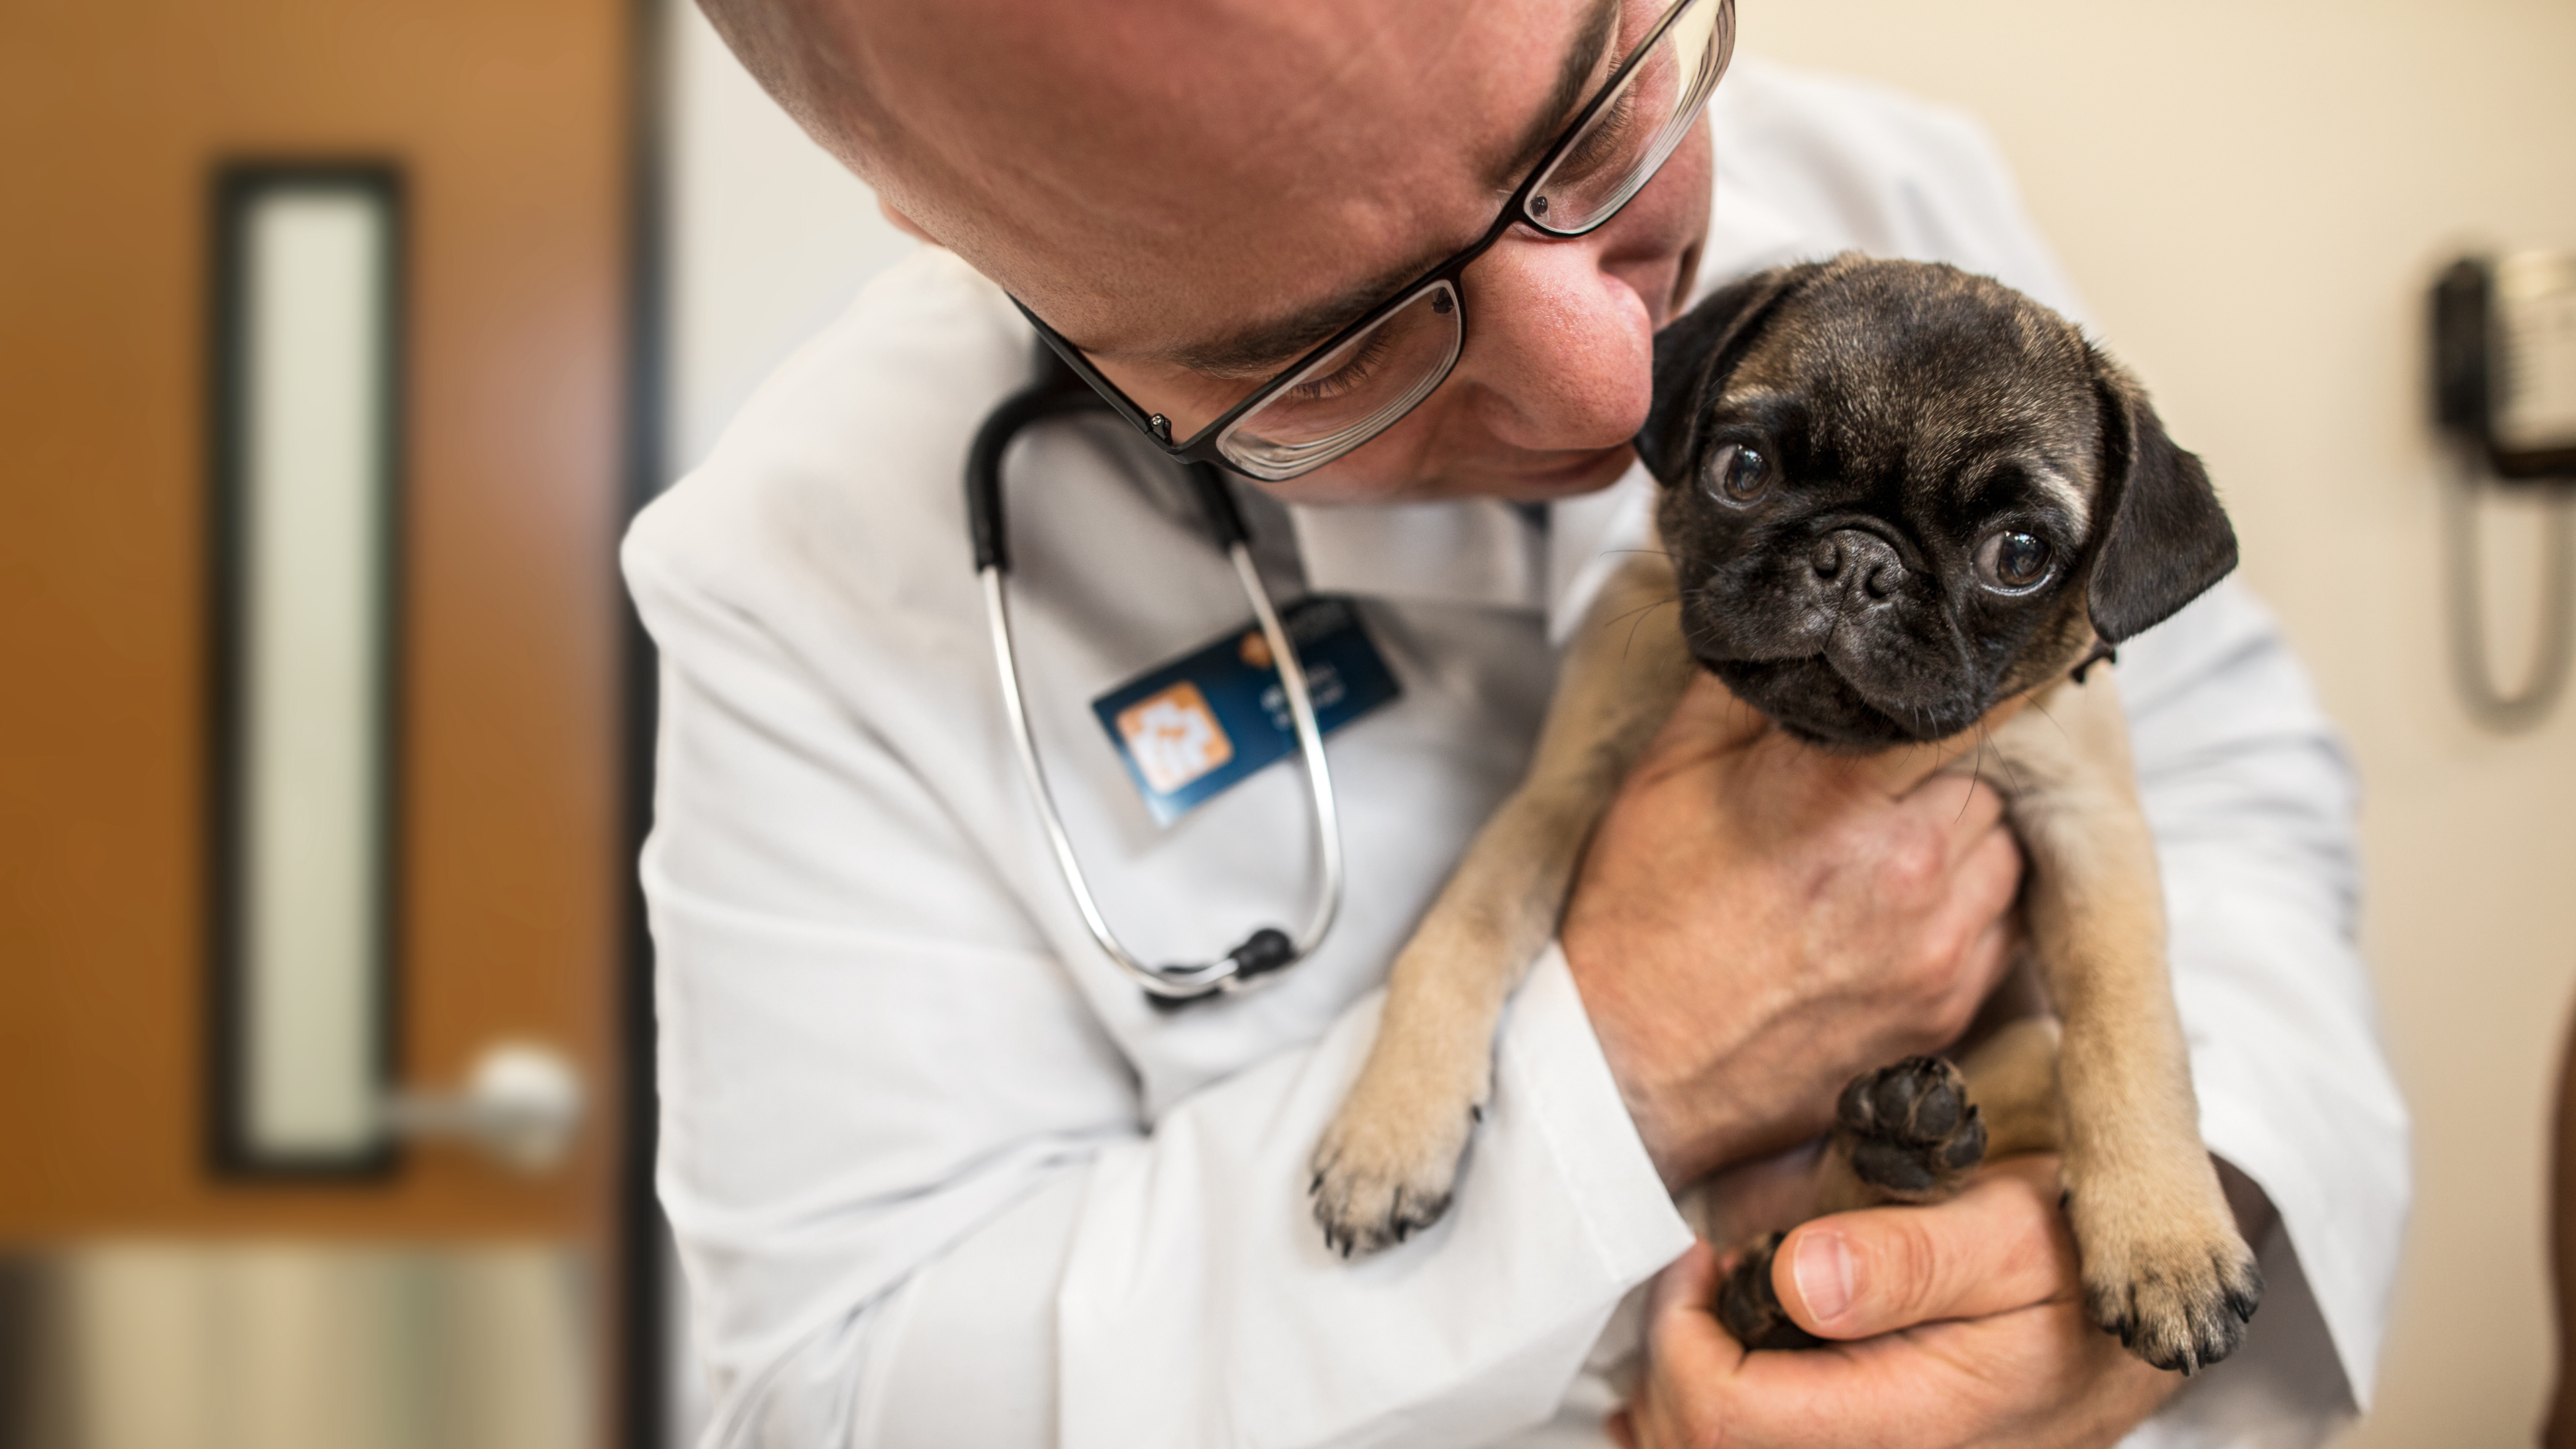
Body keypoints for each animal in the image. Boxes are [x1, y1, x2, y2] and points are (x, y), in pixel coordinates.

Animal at [1319, 254, 2267, 1371]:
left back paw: (1892, 1157)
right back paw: (1830, 1220)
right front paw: (1391, 1127)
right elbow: (1460, 930)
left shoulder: (2090, 831)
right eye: (1743, 469)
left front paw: (2167, 1232)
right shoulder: (1563, 791)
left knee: (2021, 1072)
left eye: (2020, 555)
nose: (1861, 560)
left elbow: (2129, 1026)